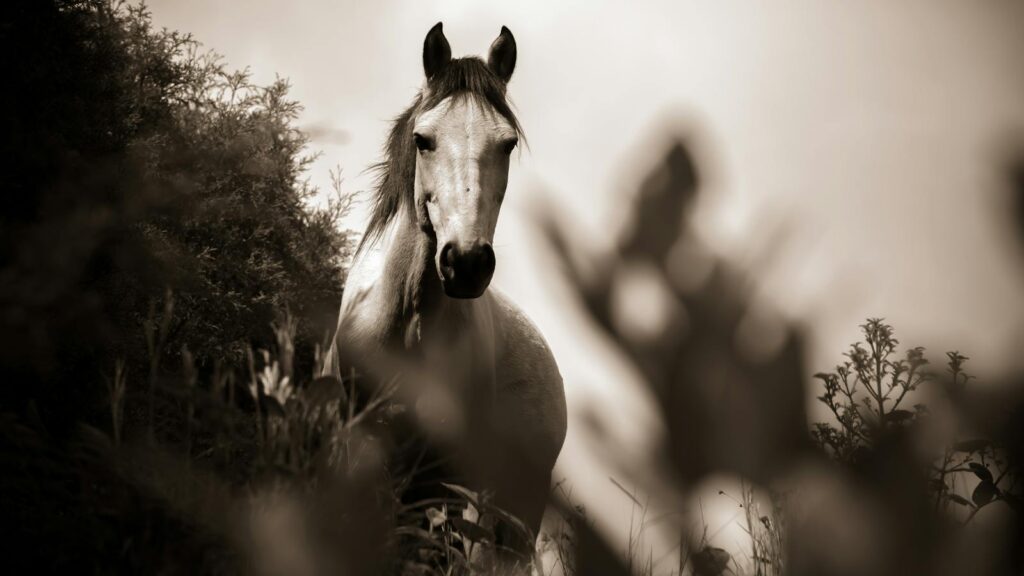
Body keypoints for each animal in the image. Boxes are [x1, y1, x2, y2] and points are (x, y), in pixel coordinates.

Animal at [326, 23, 567, 559]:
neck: (407, 324)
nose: (467, 263)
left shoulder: (440, 479)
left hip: (511, 511)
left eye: (507, 144)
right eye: (423, 140)